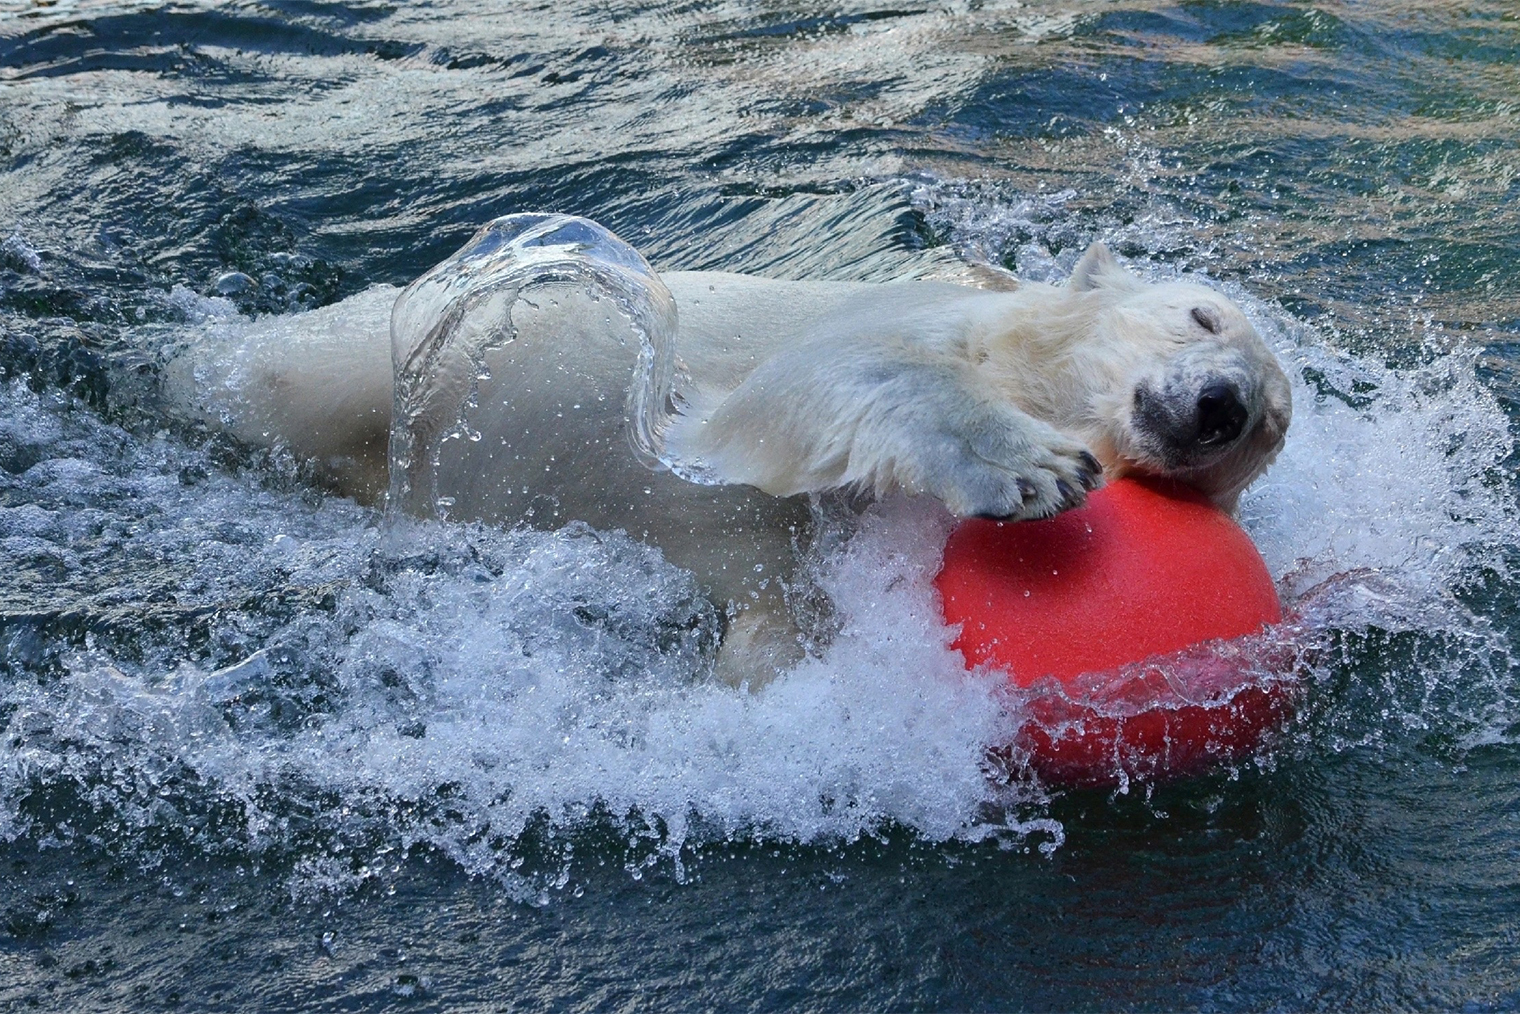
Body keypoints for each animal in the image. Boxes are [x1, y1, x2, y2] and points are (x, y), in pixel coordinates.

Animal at [174, 214, 1295, 681]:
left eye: (1272, 428)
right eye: (1200, 315)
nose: (1223, 405)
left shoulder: (787, 564)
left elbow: (779, 617)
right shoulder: (872, 331)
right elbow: (817, 388)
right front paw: (1037, 468)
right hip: (376, 353)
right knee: (273, 375)